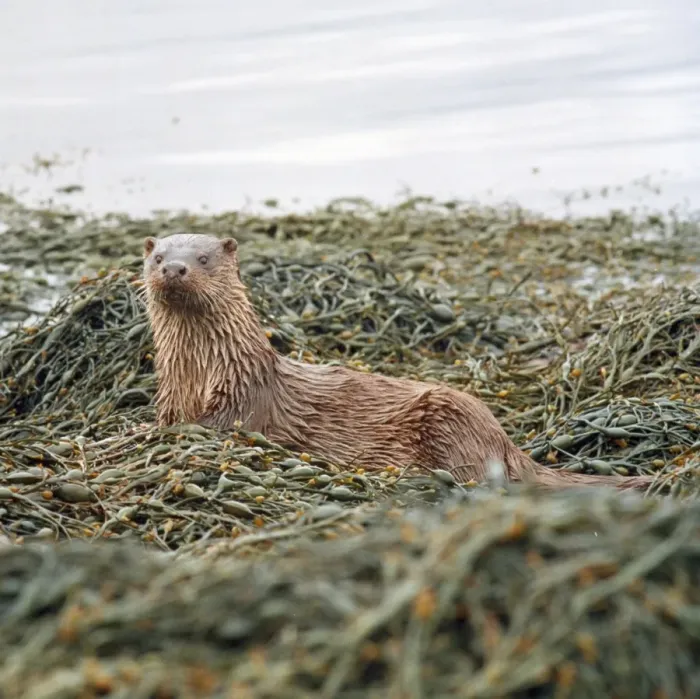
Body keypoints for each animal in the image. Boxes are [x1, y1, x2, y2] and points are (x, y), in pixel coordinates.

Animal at [142, 233, 654, 492]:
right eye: (158, 256)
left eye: (203, 257)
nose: (174, 268)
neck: (203, 372)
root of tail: (506, 441)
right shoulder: (169, 403)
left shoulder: (241, 405)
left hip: (451, 419)